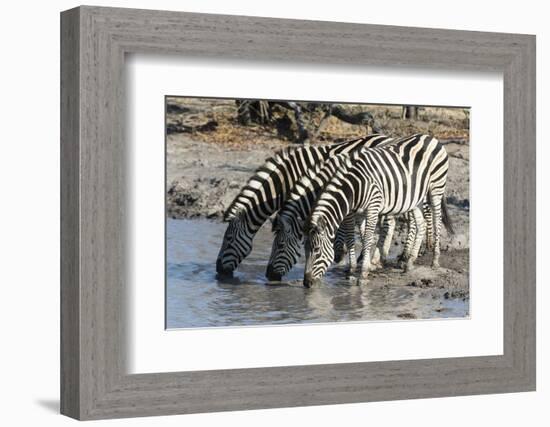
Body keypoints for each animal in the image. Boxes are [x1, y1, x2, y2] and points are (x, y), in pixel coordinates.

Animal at [217, 135, 396, 280]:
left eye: (229, 239)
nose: (218, 270)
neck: (285, 180)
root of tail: (386, 137)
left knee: (388, 222)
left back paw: (377, 258)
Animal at [304, 134, 454, 288]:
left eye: (317, 250)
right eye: (305, 250)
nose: (306, 283)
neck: (354, 187)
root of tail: (430, 137)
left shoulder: (373, 207)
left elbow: (368, 237)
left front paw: (363, 273)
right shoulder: (357, 211)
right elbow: (354, 236)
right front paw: (356, 267)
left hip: (436, 187)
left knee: (437, 220)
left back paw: (434, 260)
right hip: (416, 198)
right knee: (421, 224)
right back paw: (409, 262)